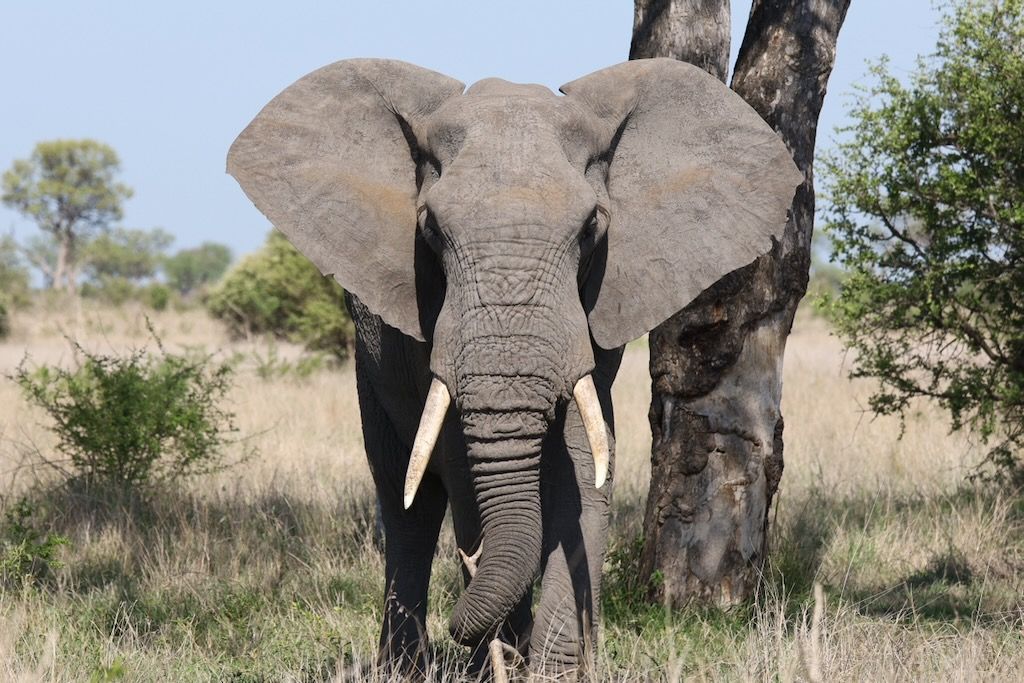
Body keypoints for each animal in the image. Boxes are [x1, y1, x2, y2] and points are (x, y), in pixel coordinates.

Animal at [228, 57, 800, 678]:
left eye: (592, 228)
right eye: (429, 229)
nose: (468, 629)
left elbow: (584, 467)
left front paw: (555, 670)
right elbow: (465, 471)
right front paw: (497, 659)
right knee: (405, 496)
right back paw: (408, 665)